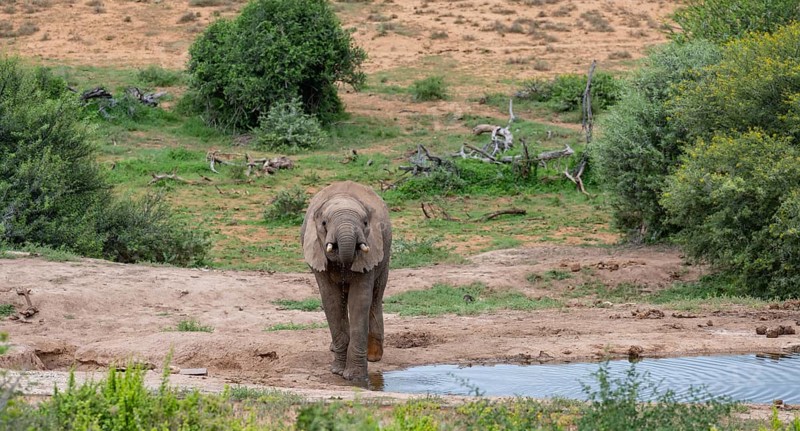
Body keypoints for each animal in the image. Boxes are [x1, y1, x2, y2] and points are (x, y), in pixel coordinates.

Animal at [300, 181, 392, 381]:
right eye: (324, 223)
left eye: (365, 223)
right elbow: (332, 302)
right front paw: (337, 371)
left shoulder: (371, 249)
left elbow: (359, 301)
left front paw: (354, 377)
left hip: (385, 255)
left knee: (375, 297)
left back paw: (374, 356)